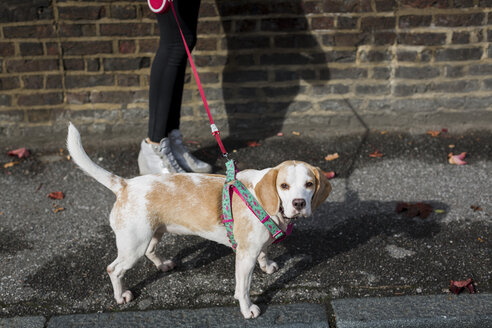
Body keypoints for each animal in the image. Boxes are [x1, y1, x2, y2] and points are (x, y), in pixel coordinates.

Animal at [66, 123, 330, 318]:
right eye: (284, 186)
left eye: (309, 184)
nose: (299, 203)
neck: (264, 202)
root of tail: (124, 185)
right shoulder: (245, 256)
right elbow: (243, 288)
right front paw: (248, 310)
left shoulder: (256, 246)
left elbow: (264, 253)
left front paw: (267, 266)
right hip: (133, 247)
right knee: (114, 269)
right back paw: (120, 296)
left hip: (153, 233)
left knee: (151, 251)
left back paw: (163, 264)